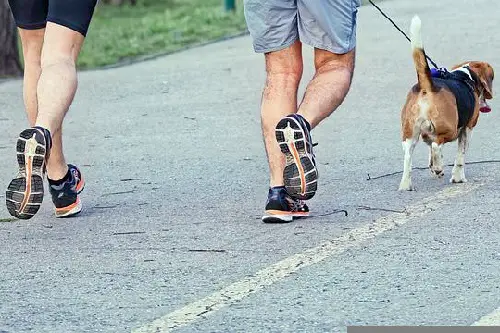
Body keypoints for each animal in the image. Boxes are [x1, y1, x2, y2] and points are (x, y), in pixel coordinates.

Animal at [400, 15, 494, 191]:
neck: (465, 76)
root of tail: (428, 86)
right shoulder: (467, 129)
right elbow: (460, 157)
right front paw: (458, 178)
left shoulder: (426, 134)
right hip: (451, 129)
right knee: (437, 145)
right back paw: (438, 167)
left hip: (410, 134)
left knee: (409, 156)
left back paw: (406, 184)